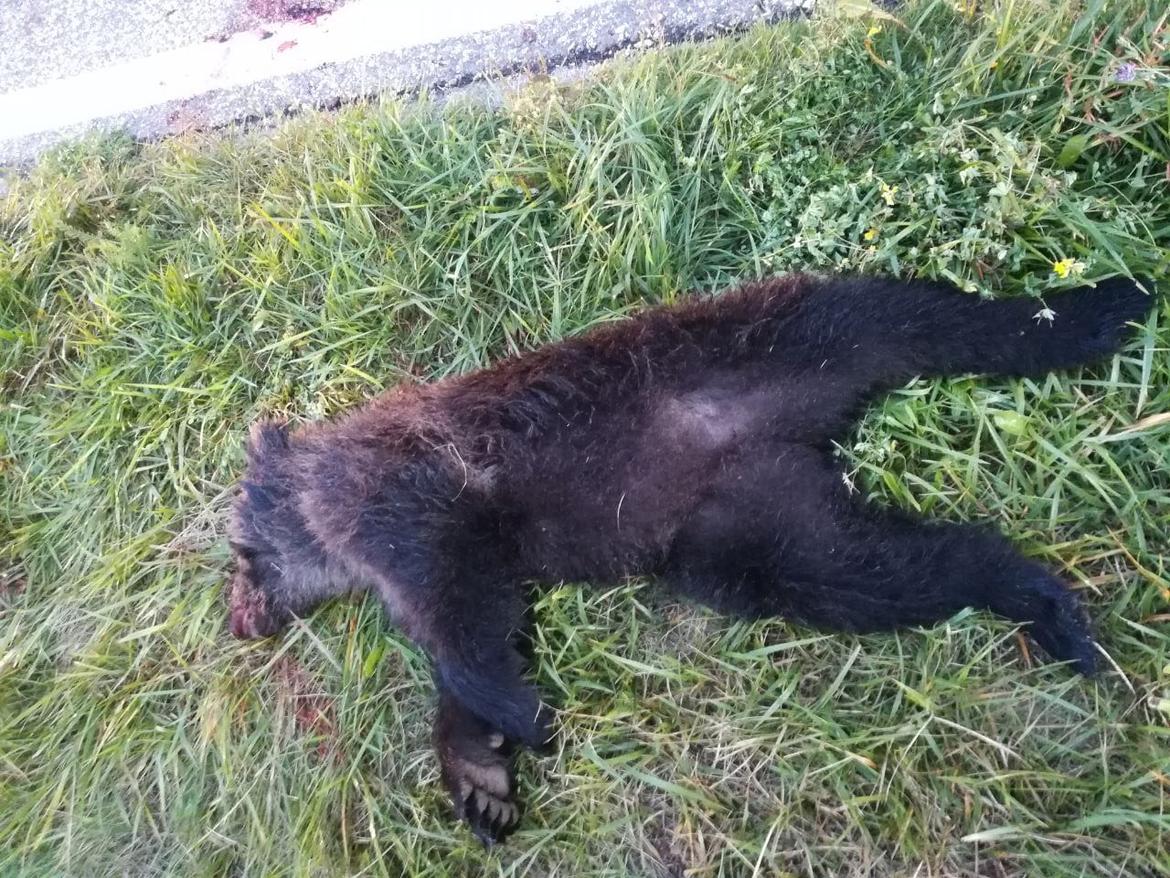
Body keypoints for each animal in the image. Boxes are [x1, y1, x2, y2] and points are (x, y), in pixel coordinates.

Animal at [225, 273, 1153, 844]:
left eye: (237, 558)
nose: (238, 622)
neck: (328, 524)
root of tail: (791, 432)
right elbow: (491, 631)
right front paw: (482, 777)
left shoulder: (416, 510)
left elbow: (466, 624)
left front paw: (518, 720)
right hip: (748, 531)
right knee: (882, 568)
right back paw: (1041, 602)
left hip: (760, 339)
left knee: (920, 316)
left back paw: (1106, 303)